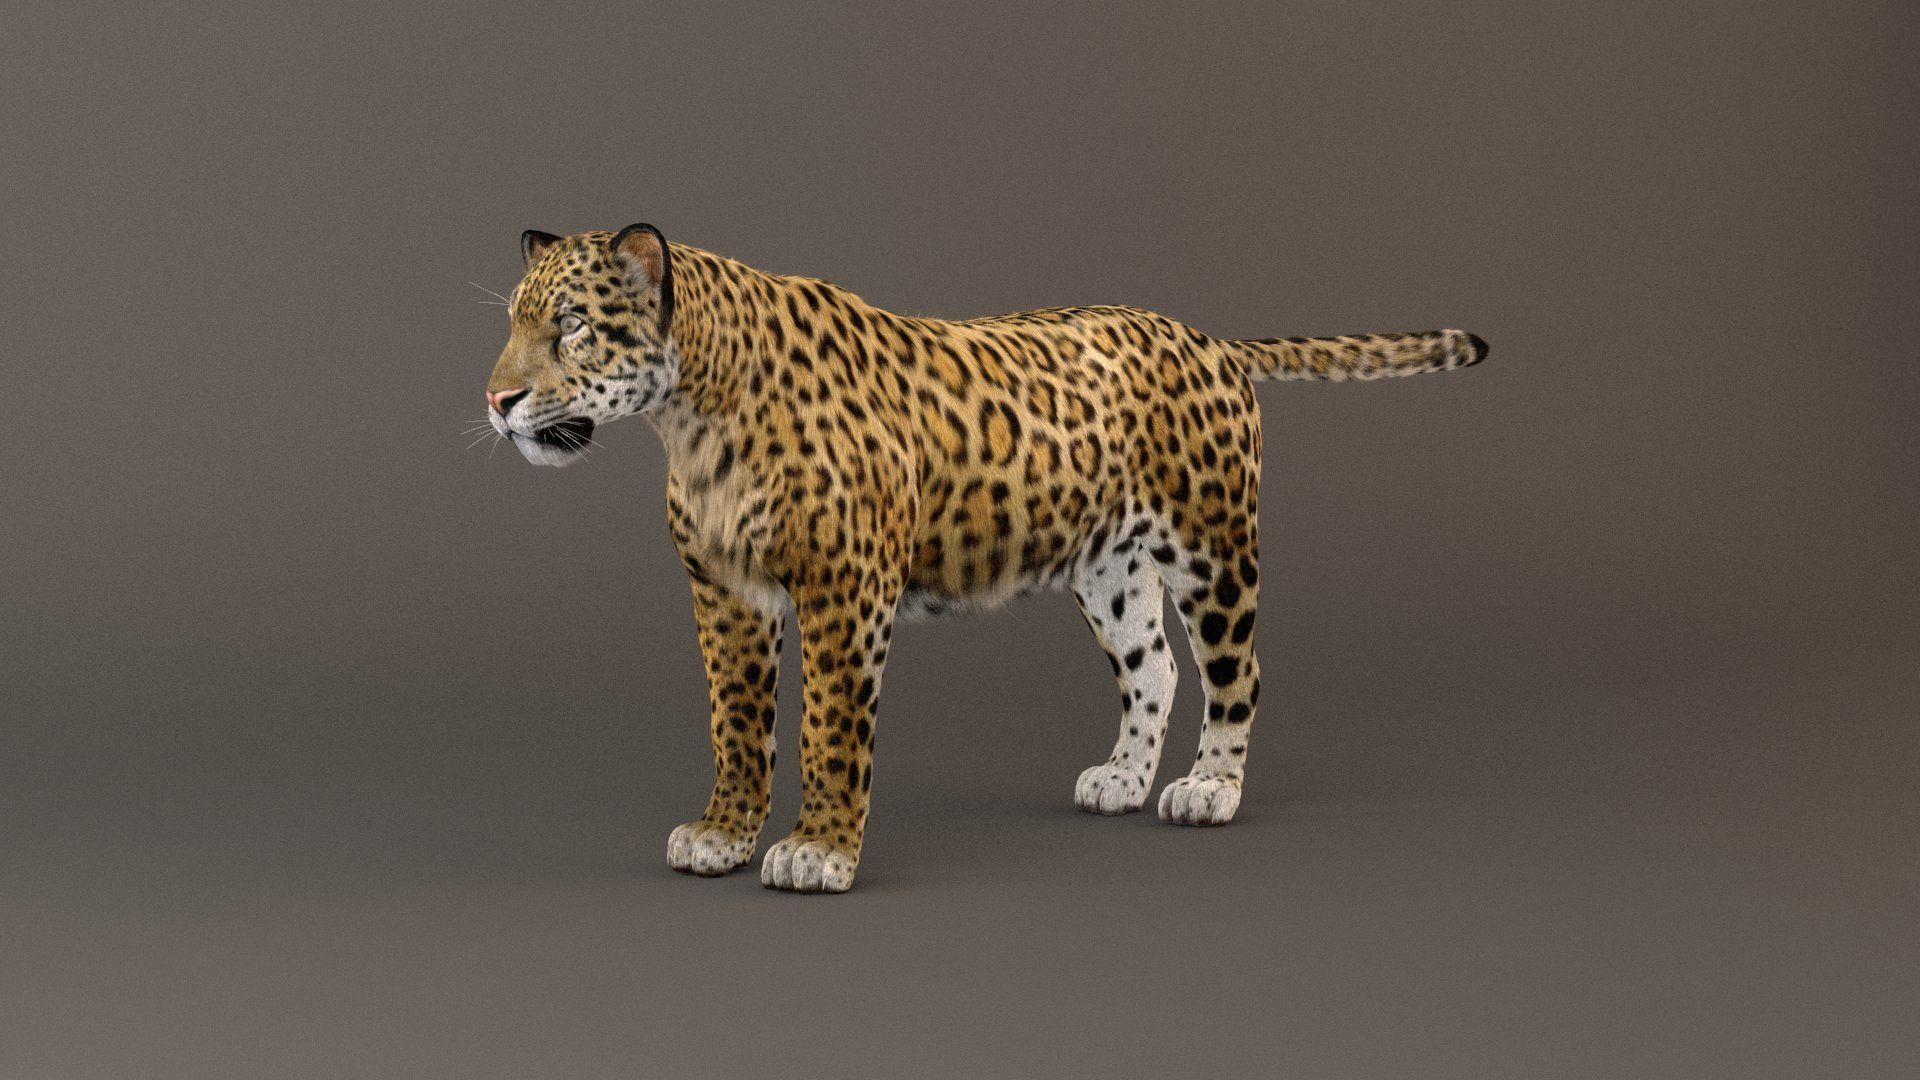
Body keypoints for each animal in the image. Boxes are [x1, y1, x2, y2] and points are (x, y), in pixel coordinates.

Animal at [481, 223, 1486, 893]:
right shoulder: (725, 591)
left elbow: (829, 727)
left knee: (1236, 670)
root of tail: (1212, 341)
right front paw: (723, 834)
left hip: (1212, 545)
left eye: (570, 325)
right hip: (1110, 566)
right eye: (515, 325)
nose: (497, 400)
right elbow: (737, 721)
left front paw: (819, 850)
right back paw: (1122, 780)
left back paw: (1208, 788)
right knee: (1154, 666)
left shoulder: (845, 588)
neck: (690, 418)